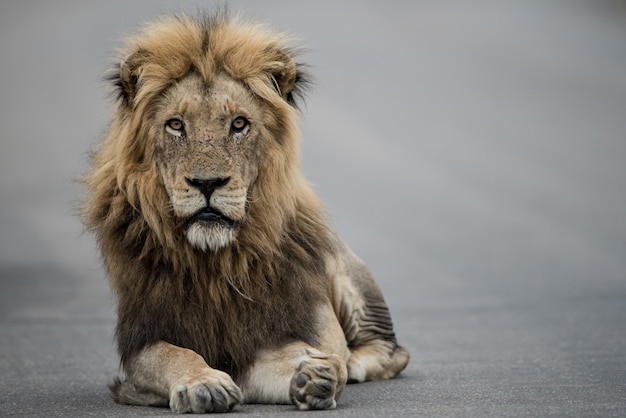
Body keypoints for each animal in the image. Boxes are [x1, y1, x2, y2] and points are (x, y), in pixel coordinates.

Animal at [83, 11, 408, 414]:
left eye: (238, 124)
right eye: (176, 125)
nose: (208, 183)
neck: (214, 264)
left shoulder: (277, 333)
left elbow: (307, 358)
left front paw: (314, 374)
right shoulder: (143, 343)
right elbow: (173, 355)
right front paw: (204, 384)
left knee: (392, 351)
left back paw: (353, 362)